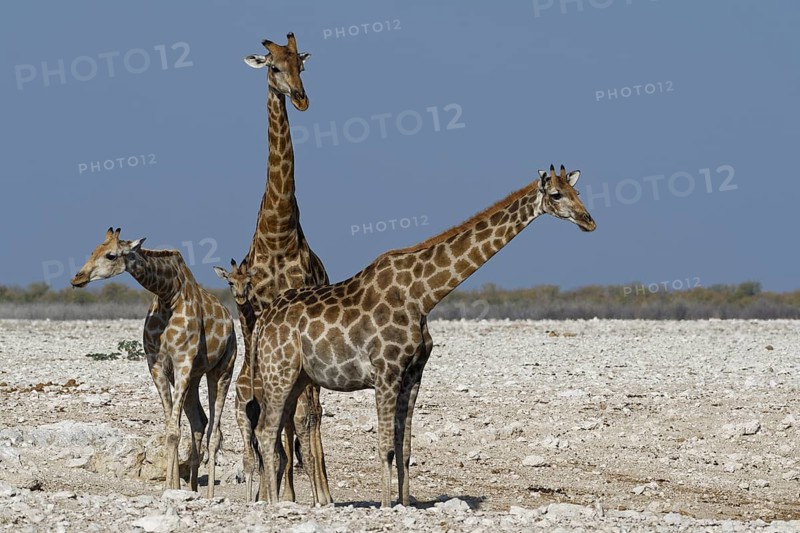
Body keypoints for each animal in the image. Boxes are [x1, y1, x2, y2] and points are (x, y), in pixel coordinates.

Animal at [71, 228, 237, 498]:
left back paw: (210, 494)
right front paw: (173, 486)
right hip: (195, 377)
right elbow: (170, 427)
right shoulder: (158, 365)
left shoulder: (182, 362)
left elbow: (173, 431)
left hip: (222, 370)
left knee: (215, 431)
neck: (168, 294)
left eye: (110, 255)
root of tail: (231, 322)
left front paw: (171, 488)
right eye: (92, 250)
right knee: (199, 422)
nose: (77, 278)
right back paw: (192, 487)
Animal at [250, 165, 596, 507]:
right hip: (279, 373)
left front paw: (405, 504)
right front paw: (386, 506)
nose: (588, 221)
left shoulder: (414, 375)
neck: (423, 295)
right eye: (556, 194)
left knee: (272, 430)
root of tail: (261, 322)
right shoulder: (386, 373)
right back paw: (273, 505)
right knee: (266, 431)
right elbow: (386, 447)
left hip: (297, 378)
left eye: (578, 191)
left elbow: (405, 449)